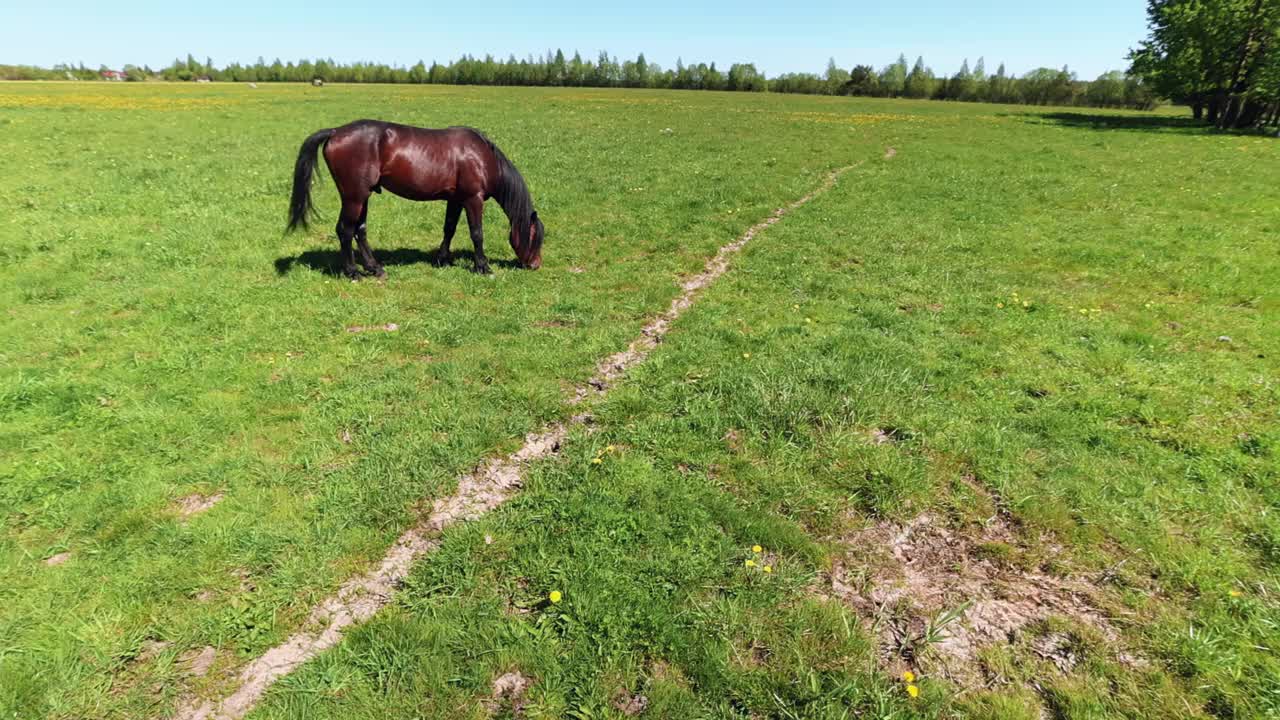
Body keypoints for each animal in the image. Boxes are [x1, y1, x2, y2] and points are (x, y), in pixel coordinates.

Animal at [285, 119, 545, 275]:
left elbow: (449, 228)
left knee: (360, 230)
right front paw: (482, 266)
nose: (535, 265)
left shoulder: (456, 199)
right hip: (354, 197)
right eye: (534, 237)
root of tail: (335, 132)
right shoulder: (473, 199)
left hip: (363, 197)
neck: (482, 157)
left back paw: (374, 268)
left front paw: (442, 259)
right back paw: (353, 272)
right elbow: (477, 233)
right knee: (345, 230)